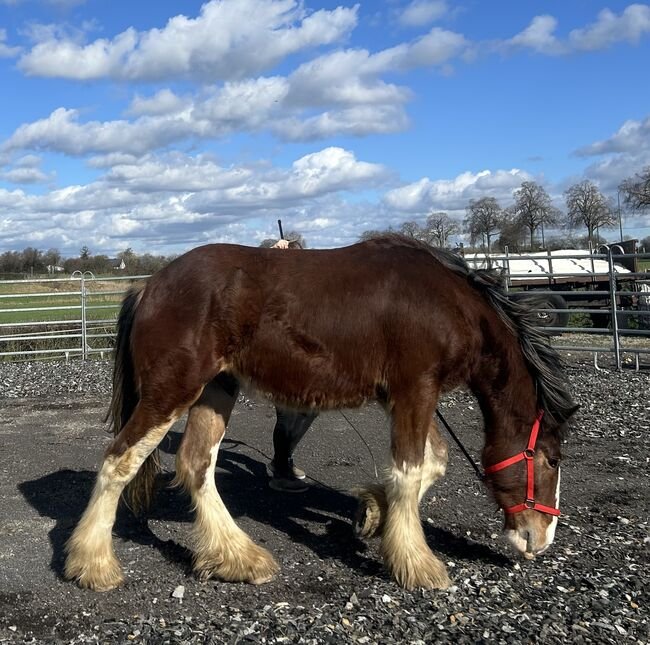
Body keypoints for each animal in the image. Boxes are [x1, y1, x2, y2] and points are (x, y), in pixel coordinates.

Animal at [64, 235, 577, 592]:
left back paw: (238, 559)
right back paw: (93, 565)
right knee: (119, 461)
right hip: (172, 391)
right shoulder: (416, 390)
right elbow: (411, 470)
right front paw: (417, 564)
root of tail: (149, 286)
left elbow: (432, 463)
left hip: (215, 391)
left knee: (196, 465)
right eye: (552, 459)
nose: (542, 538)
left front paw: (372, 513)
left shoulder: (407, 397)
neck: (449, 303)